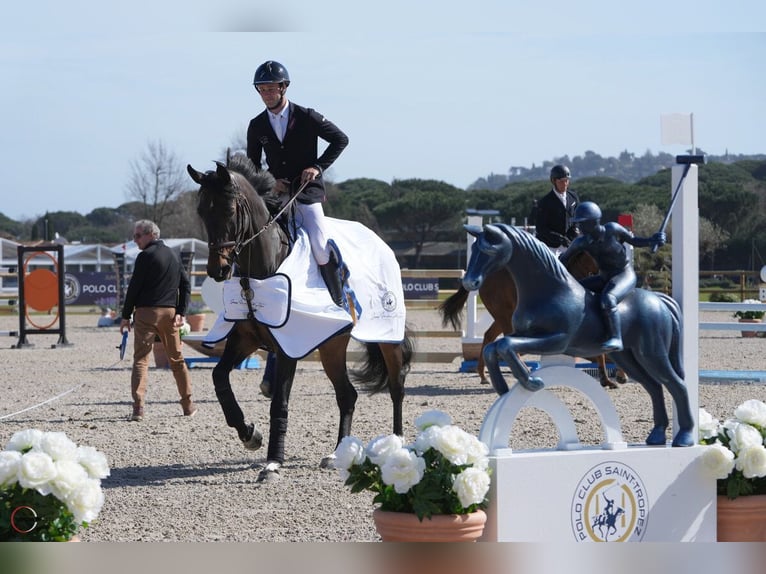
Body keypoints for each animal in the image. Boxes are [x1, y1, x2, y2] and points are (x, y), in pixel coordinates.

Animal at [188, 156, 414, 482]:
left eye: (229, 210)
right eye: (202, 211)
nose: (217, 270)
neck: (258, 272)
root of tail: (380, 242)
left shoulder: (287, 348)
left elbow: (279, 404)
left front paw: (272, 463)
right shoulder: (245, 339)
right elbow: (219, 378)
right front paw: (249, 434)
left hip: (386, 336)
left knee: (396, 386)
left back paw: (398, 443)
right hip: (332, 346)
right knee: (347, 395)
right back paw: (336, 453)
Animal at [440, 253, 628, 392]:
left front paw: (612, 378)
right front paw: (612, 377)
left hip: (503, 316)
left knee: (489, 336)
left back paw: (483, 375)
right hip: (505, 315)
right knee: (504, 339)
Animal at [464, 223, 700, 448]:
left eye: (488, 250)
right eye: (473, 249)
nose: (469, 283)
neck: (547, 291)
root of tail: (659, 300)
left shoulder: (557, 340)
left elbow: (505, 345)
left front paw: (531, 381)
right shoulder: (524, 333)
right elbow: (494, 348)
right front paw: (502, 386)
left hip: (652, 354)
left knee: (677, 385)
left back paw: (684, 437)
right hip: (628, 357)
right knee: (655, 386)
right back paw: (657, 435)